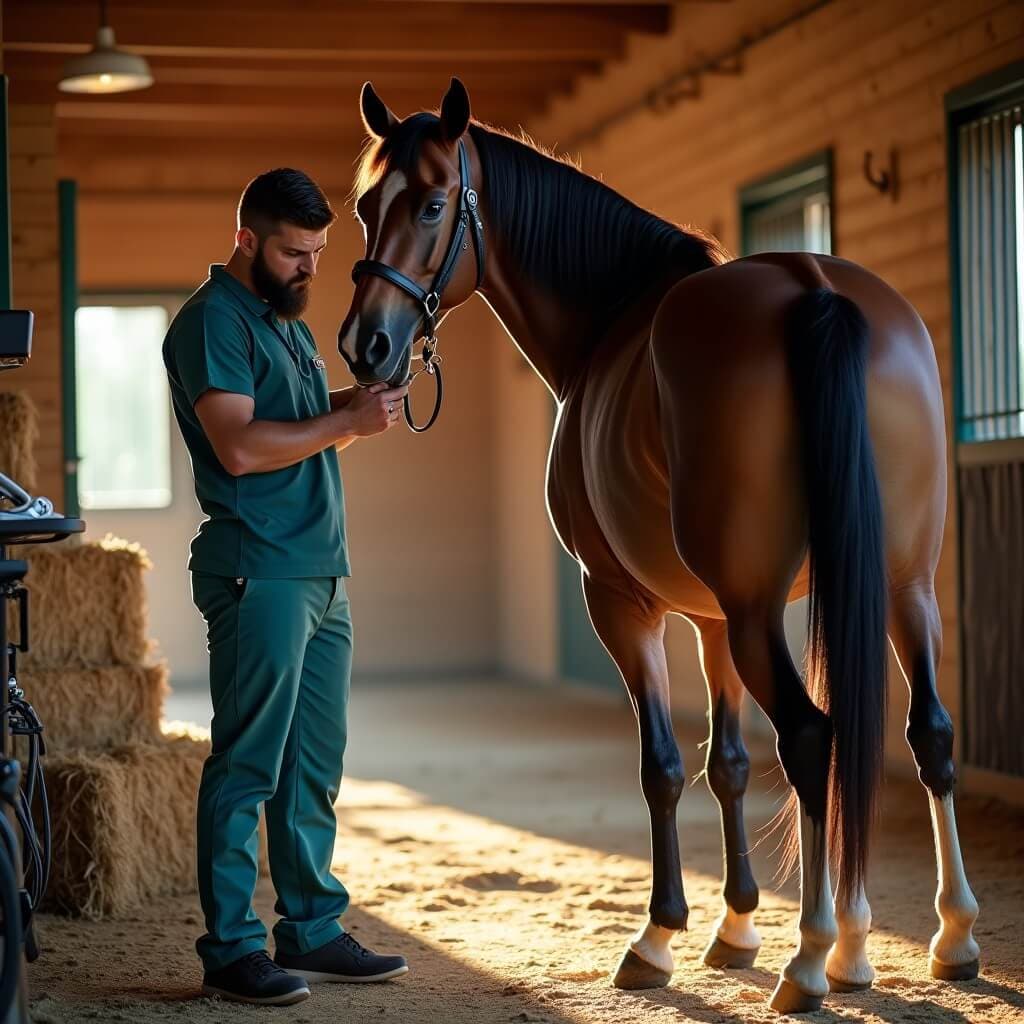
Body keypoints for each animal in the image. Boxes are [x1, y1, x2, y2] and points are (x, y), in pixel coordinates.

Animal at [339, 79, 978, 1015]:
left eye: (429, 203)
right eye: (362, 206)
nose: (367, 345)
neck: (609, 320)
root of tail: (813, 286)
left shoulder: (624, 603)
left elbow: (666, 766)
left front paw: (659, 937)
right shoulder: (712, 621)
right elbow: (730, 764)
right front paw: (736, 927)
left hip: (761, 612)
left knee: (813, 737)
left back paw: (812, 958)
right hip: (899, 588)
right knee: (922, 732)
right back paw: (931, 939)